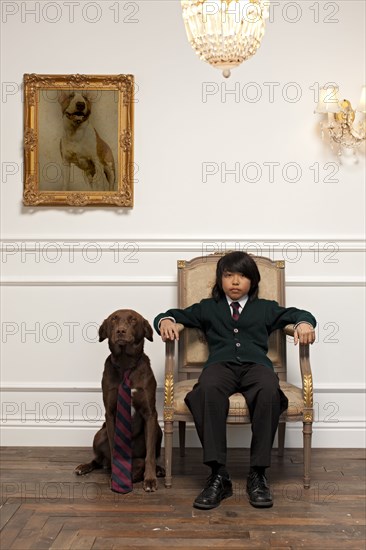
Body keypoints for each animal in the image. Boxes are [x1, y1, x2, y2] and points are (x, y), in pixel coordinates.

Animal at [75, 310, 164, 496]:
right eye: (113, 319)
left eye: (133, 320)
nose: (121, 331)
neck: (125, 363)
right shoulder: (110, 413)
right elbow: (114, 448)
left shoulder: (150, 414)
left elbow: (150, 454)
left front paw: (150, 479)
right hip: (99, 435)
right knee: (99, 459)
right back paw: (85, 466)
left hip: (158, 430)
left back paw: (159, 470)